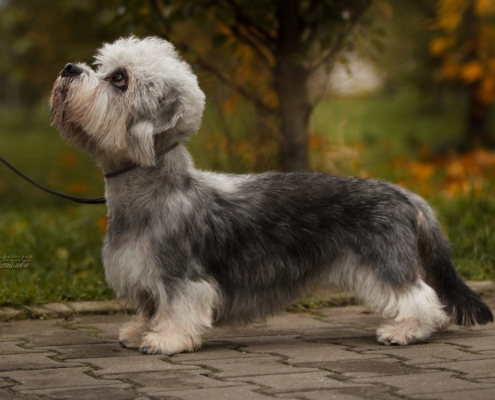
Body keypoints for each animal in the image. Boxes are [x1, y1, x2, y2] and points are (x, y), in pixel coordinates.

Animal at [50, 36, 492, 354]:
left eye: (119, 79)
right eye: (102, 67)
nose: (69, 68)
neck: (151, 192)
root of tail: (406, 195)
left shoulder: (178, 272)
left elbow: (178, 305)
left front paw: (165, 340)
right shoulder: (142, 272)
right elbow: (149, 305)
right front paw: (139, 331)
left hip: (384, 261)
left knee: (421, 297)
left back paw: (406, 331)